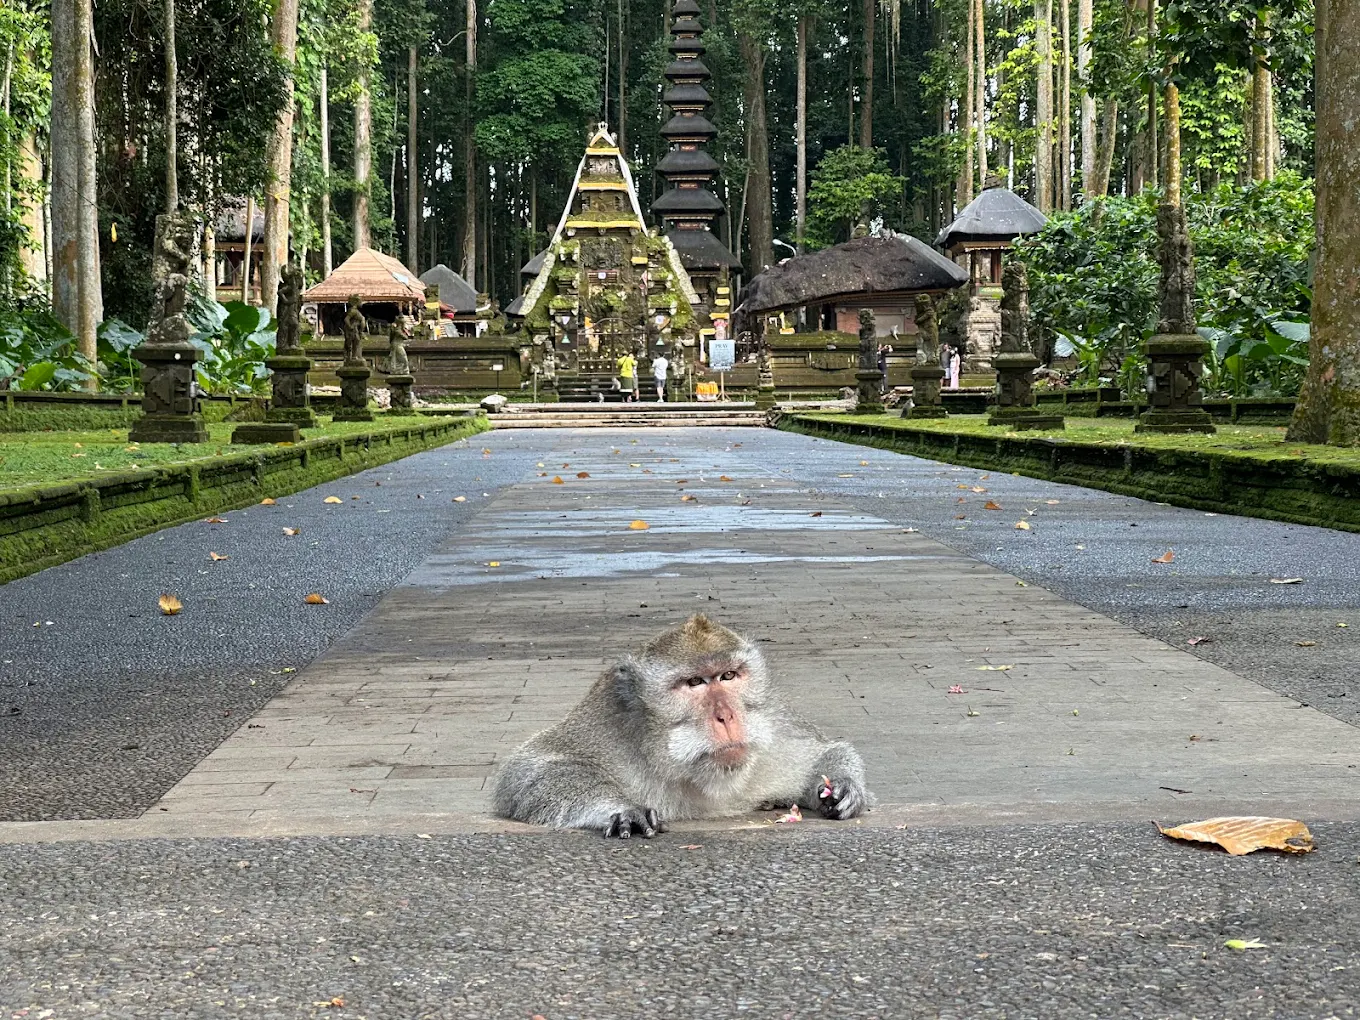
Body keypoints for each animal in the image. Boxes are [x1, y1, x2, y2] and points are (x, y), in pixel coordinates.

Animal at [491, 615, 872, 839]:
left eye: (728, 675)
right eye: (694, 683)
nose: (727, 716)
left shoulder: (773, 732)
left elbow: (820, 752)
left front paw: (842, 786)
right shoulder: (606, 726)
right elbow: (527, 772)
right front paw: (622, 808)